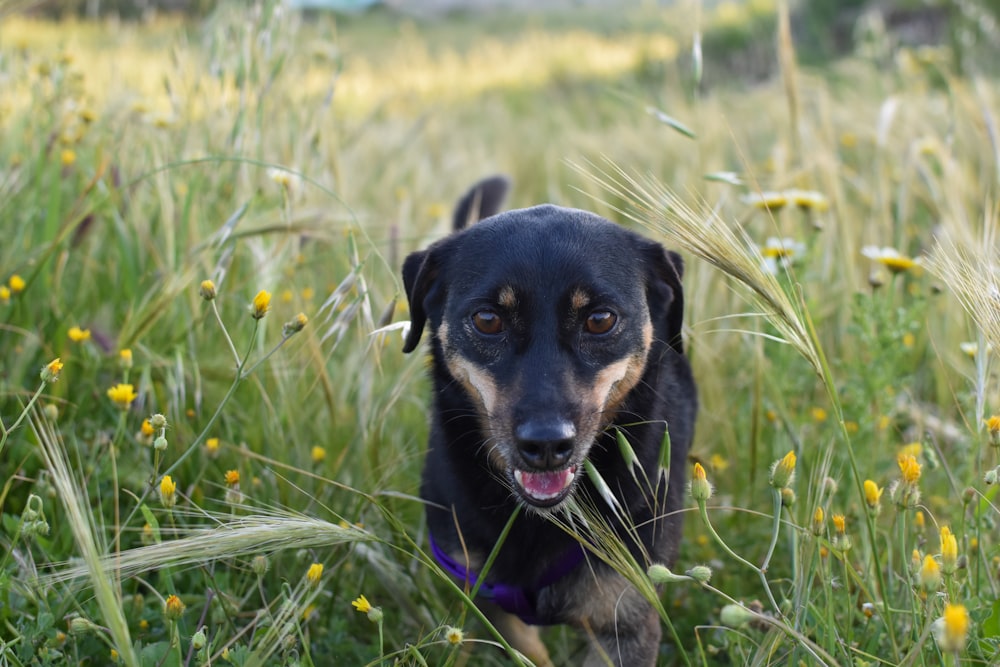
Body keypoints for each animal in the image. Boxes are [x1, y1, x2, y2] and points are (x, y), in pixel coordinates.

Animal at [400, 177, 696, 667]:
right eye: (487, 319)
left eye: (600, 319)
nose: (546, 445)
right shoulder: (477, 587)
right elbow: (525, 647)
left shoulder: (627, 618)